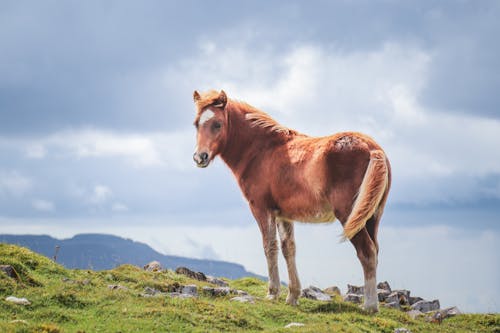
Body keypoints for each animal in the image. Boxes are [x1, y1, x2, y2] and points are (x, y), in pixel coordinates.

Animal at [191, 89, 390, 312]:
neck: (262, 151)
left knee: (367, 252)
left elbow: (269, 246)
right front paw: (292, 295)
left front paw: (272, 293)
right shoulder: (283, 215)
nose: (200, 157)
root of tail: (373, 149)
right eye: (196, 123)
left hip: (349, 215)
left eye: (217, 124)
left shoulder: (261, 209)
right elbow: (289, 248)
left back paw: (370, 306)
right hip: (371, 217)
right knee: (375, 250)